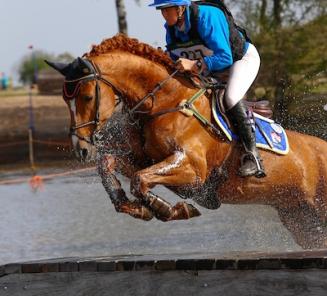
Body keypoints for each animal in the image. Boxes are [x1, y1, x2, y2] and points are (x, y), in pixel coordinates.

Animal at [46, 33, 327, 249]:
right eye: (65, 101)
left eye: (86, 97)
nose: (81, 150)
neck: (164, 101)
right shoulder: (143, 159)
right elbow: (110, 164)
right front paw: (136, 207)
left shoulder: (193, 170)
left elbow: (140, 179)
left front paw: (166, 208)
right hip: (300, 219)